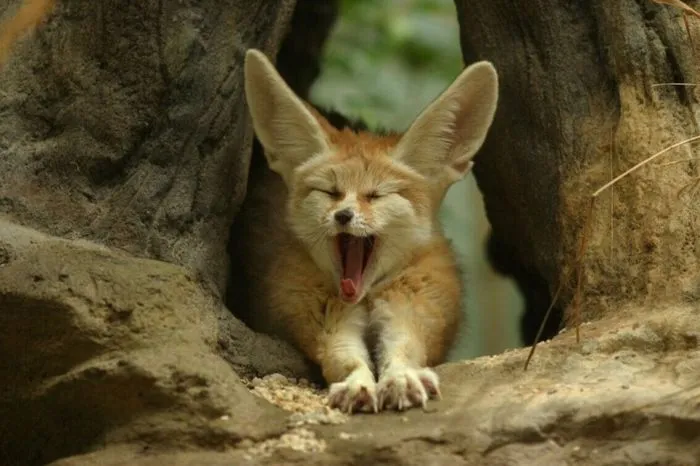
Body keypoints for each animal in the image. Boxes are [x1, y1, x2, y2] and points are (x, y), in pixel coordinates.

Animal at [236, 49, 498, 413]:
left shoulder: (413, 307)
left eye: (377, 195)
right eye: (330, 192)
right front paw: (357, 383)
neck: (368, 295)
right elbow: (343, 357)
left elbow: (404, 350)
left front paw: (402, 378)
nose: (343, 215)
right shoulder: (322, 318)